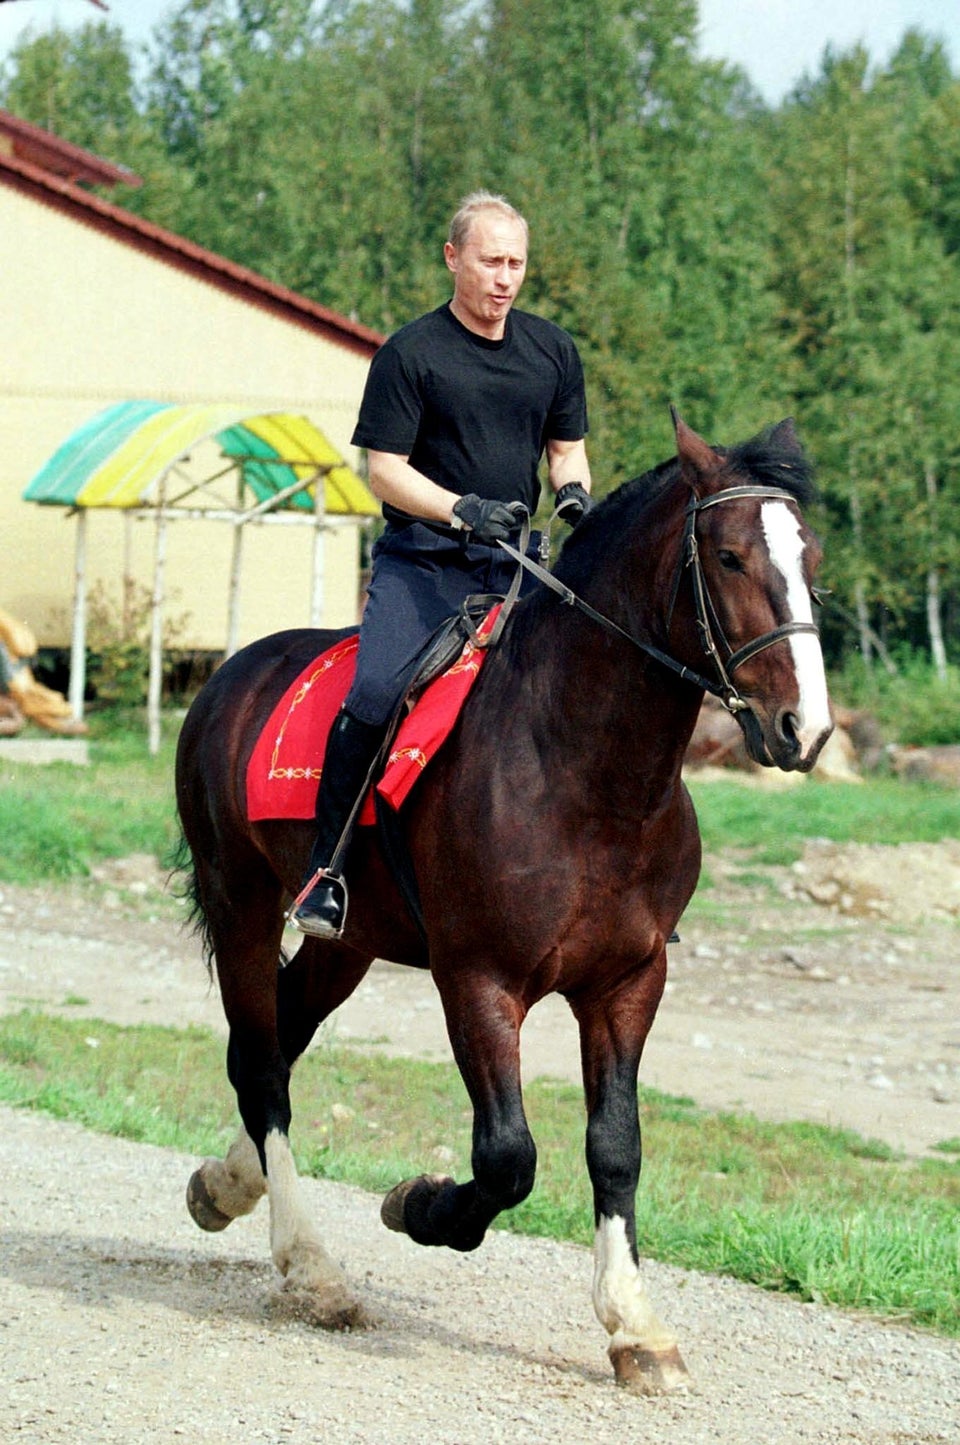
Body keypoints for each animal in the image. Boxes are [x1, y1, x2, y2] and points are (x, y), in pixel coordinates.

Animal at [176, 413, 838, 1392]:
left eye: (811, 556)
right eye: (726, 556)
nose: (806, 728)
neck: (585, 772)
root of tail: (231, 675)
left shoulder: (629, 982)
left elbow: (616, 1144)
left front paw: (636, 1326)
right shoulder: (480, 979)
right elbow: (508, 1157)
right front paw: (418, 1204)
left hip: (346, 942)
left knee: (278, 1042)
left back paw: (228, 1185)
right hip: (243, 909)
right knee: (260, 1065)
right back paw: (309, 1266)